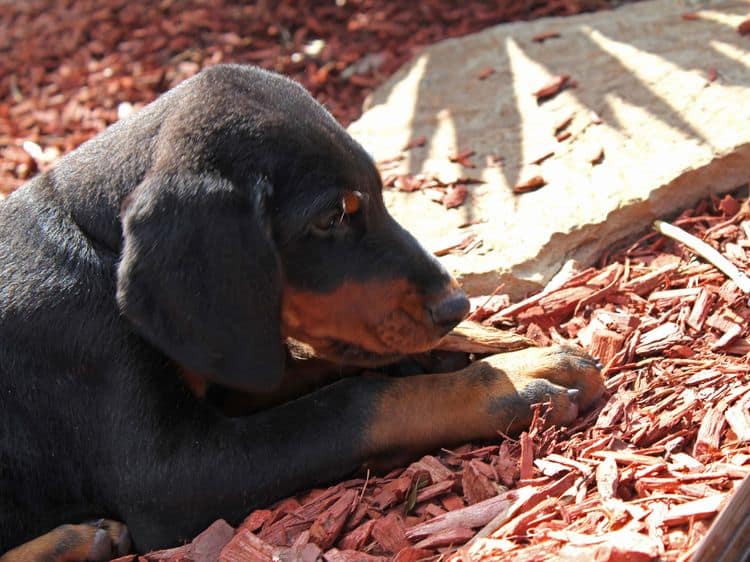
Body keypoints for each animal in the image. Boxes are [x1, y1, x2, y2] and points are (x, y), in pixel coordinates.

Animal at [0, 64, 604, 556]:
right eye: (332, 217)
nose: (456, 305)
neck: (95, 242)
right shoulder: (169, 474)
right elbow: (353, 402)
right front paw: (507, 381)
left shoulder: (232, 361)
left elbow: (321, 368)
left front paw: (494, 344)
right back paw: (74, 541)